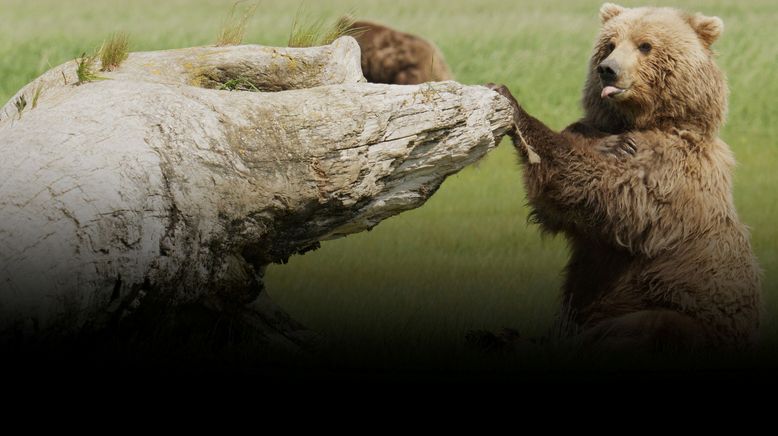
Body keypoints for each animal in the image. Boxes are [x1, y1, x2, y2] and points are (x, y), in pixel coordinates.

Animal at [488, 1, 760, 352]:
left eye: (645, 45)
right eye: (610, 44)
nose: (608, 69)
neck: (642, 121)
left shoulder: (673, 170)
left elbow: (609, 194)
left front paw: (512, 102)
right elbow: (559, 206)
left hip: (688, 314)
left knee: (652, 325)